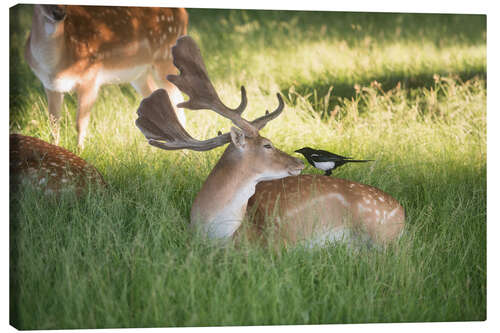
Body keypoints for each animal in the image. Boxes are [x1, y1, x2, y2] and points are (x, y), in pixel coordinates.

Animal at [23, 3, 188, 147]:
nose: (59, 12)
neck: (56, 66)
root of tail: (184, 14)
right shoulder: (51, 86)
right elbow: (54, 125)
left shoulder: (90, 77)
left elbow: (80, 123)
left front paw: (80, 151)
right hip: (140, 75)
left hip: (165, 59)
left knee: (177, 101)